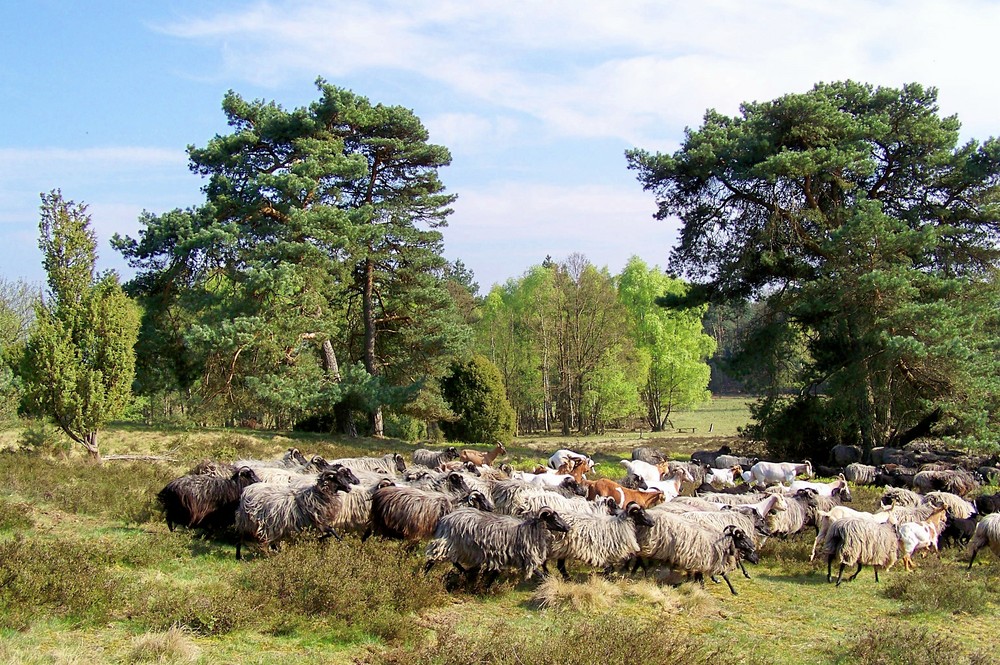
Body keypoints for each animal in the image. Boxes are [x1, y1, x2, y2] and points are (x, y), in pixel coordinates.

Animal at [426, 504, 576, 588]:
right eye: (553, 517)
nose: (568, 527)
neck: (531, 530)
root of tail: (444, 520)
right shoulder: (523, 557)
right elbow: (537, 572)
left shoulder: (504, 556)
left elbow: (495, 573)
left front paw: (484, 587)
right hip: (447, 543)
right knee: (432, 560)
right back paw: (423, 576)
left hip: (456, 546)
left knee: (454, 561)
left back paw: (465, 572)